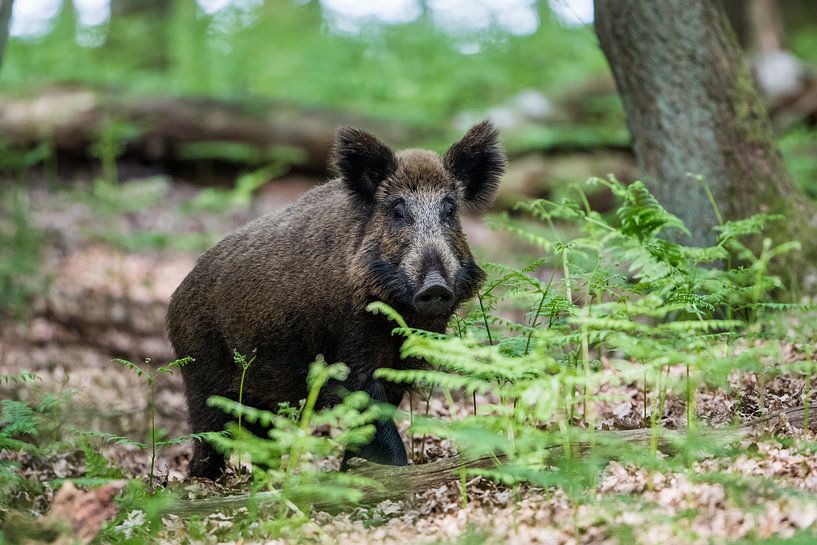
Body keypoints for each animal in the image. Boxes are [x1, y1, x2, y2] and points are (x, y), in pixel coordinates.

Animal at [166, 121, 506, 479]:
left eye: (450, 209)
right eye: (398, 211)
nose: (435, 287)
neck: (397, 315)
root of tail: (176, 296)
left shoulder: (397, 366)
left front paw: (352, 470)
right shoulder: (351, 353)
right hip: (201, 375)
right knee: (208, 438)